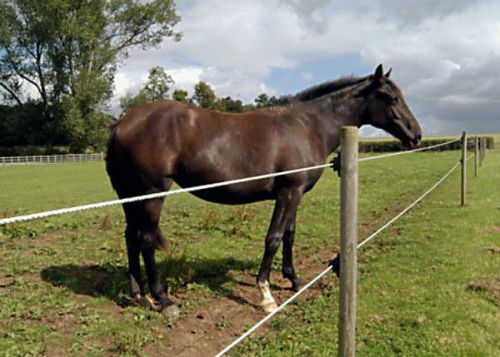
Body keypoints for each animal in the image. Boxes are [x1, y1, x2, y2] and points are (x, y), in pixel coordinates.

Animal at [105, 64, 422, 314]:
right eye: (392, 98)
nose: (416, 134)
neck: (308, 125)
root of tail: (122, 122)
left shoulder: (295, 194)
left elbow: (290, 235)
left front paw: (294, 280)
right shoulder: (288, 192)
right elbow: (274, 238)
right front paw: (266, 294)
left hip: (132, 196)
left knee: (131, 237)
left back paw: (139, 294)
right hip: (152, 194)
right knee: (146, 240)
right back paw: (163, 299)